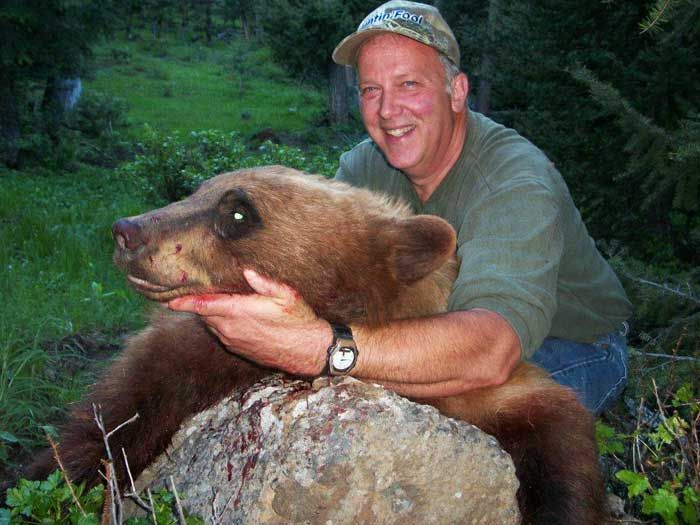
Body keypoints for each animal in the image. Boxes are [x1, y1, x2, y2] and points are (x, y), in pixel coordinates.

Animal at [28, 165, 604, 524]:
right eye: (197, 191)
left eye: (238, 212)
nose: (128, 231)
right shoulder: (190, 351)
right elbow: (118, 414)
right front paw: (61, 474)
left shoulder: (479, 387)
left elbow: (558, 433)